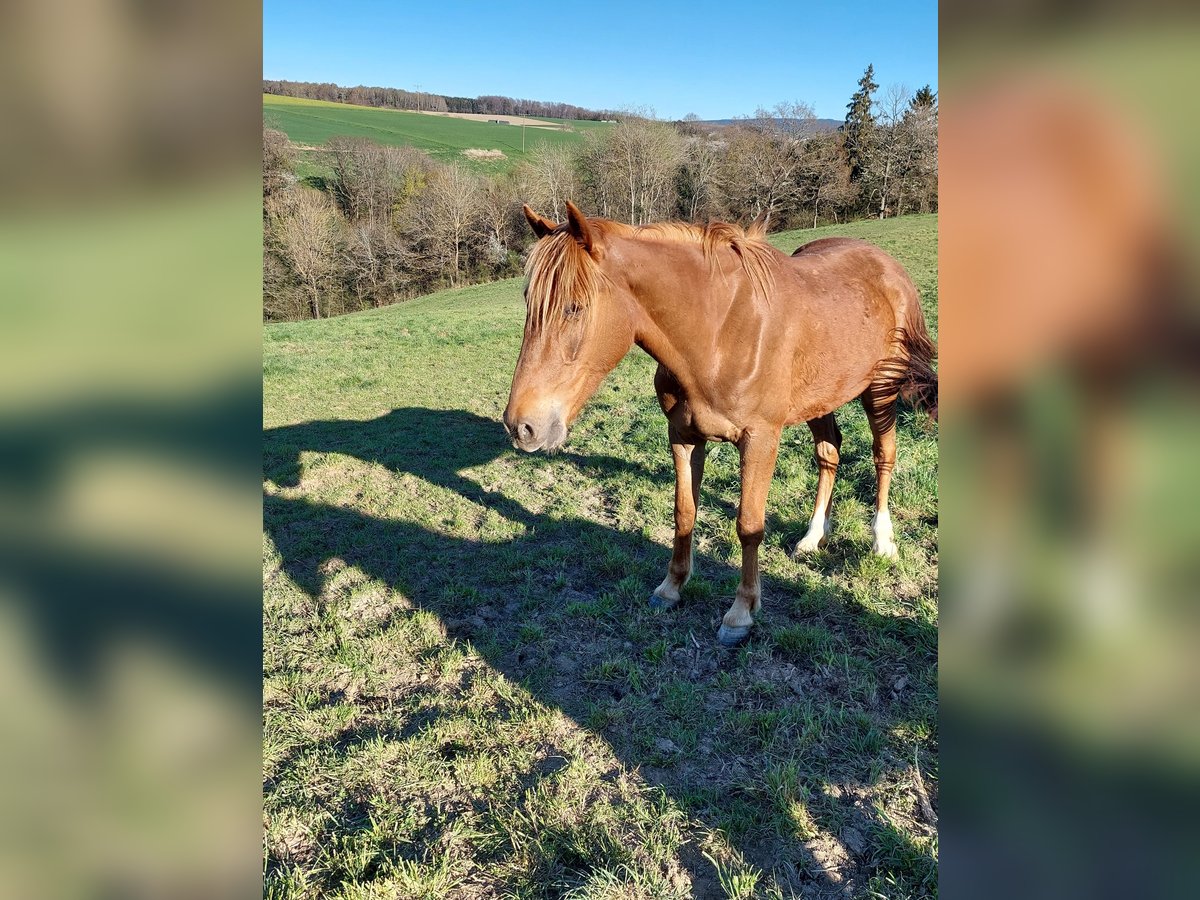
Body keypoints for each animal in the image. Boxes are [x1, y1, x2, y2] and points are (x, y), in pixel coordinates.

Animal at [501, 200, 931, 643]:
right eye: (529, 303)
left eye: (574, 307)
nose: (522, 427)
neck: (718, 335)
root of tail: (887, 266)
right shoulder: (683, 435)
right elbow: (684, 512)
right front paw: (671, 588)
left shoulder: (760, 440)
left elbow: (749, 525)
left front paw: (741, 612)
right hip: (821, 398)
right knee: (829, 454)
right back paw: (813, 537)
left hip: (880, 390)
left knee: (883, 455)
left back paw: (882, 541)